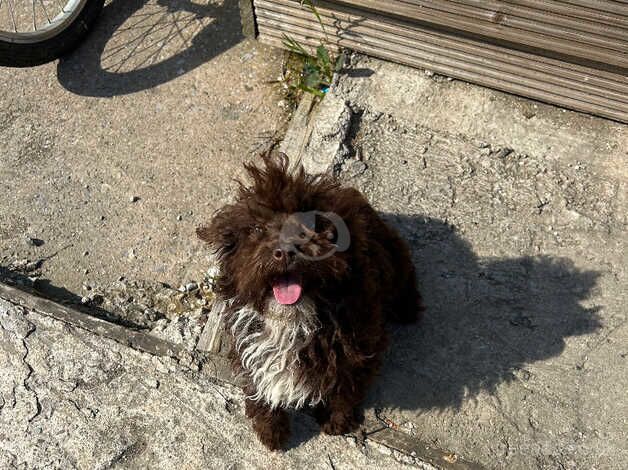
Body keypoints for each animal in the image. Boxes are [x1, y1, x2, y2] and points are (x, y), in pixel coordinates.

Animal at [196, 152, 422, 450]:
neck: (293, 320)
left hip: (394, 261)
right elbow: (259, 379)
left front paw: (336, 419)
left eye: (313, 227)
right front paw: (270, 427)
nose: (284, 251)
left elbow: (346, 383)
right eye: (257, 228)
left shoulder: (359, 342)